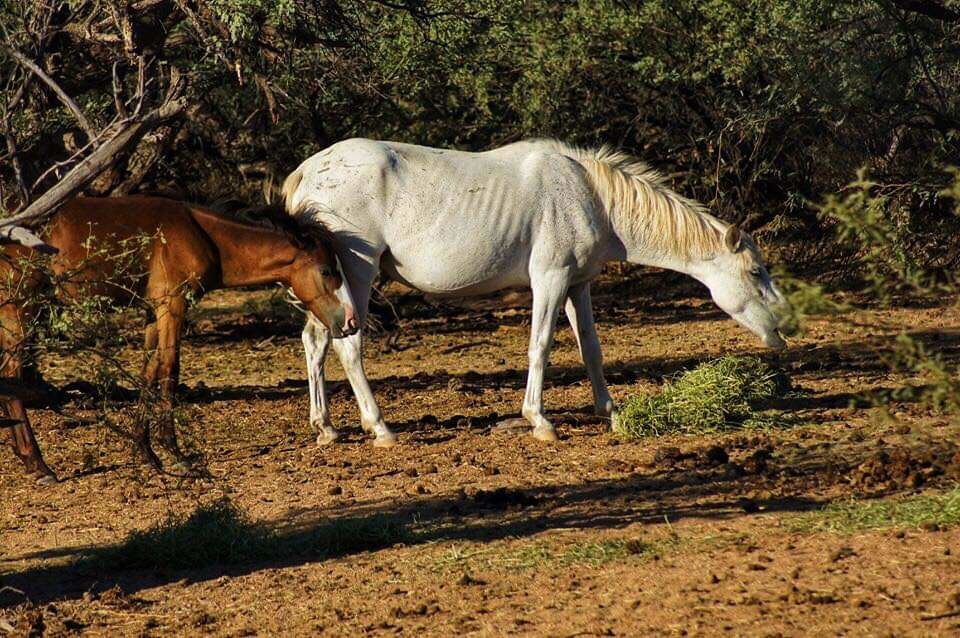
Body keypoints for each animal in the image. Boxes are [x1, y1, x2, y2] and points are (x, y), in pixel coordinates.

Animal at [1, 195, 357, 483]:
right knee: (11, 376)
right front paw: (176, 454)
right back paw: (39, 465)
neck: (203, 235)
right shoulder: (172, 304)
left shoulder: (152, 311)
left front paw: (146, 451)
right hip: (22, 313)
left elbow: (148, 372)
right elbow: (170, 370)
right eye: (326, 271)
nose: (350, 322)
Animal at [282, 138, 788, 446]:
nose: (784, 331)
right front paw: (540, 421)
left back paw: (325, 427)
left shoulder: (578, 284)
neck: (591, 196)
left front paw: (610, 411)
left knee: (316, 342)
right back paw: (381, 428)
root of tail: (307, 171)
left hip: (332, 290)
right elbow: (540, 346)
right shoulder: (550, 279)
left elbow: (591, 349)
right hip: (358, 275)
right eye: (756, 272)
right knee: (348, 348)